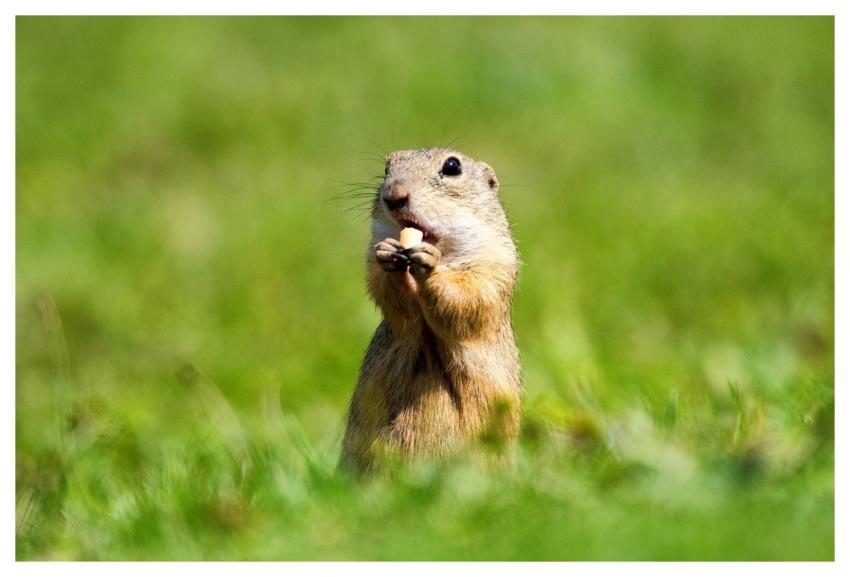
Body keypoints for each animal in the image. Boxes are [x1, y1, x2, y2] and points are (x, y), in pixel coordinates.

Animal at [340, 148, 522, 475]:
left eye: (452, 166)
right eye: (387, 168)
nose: (393, 195)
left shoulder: (494, 265)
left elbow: (469, 297)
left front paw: (430, 266)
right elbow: (390, 297)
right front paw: (388, 253)